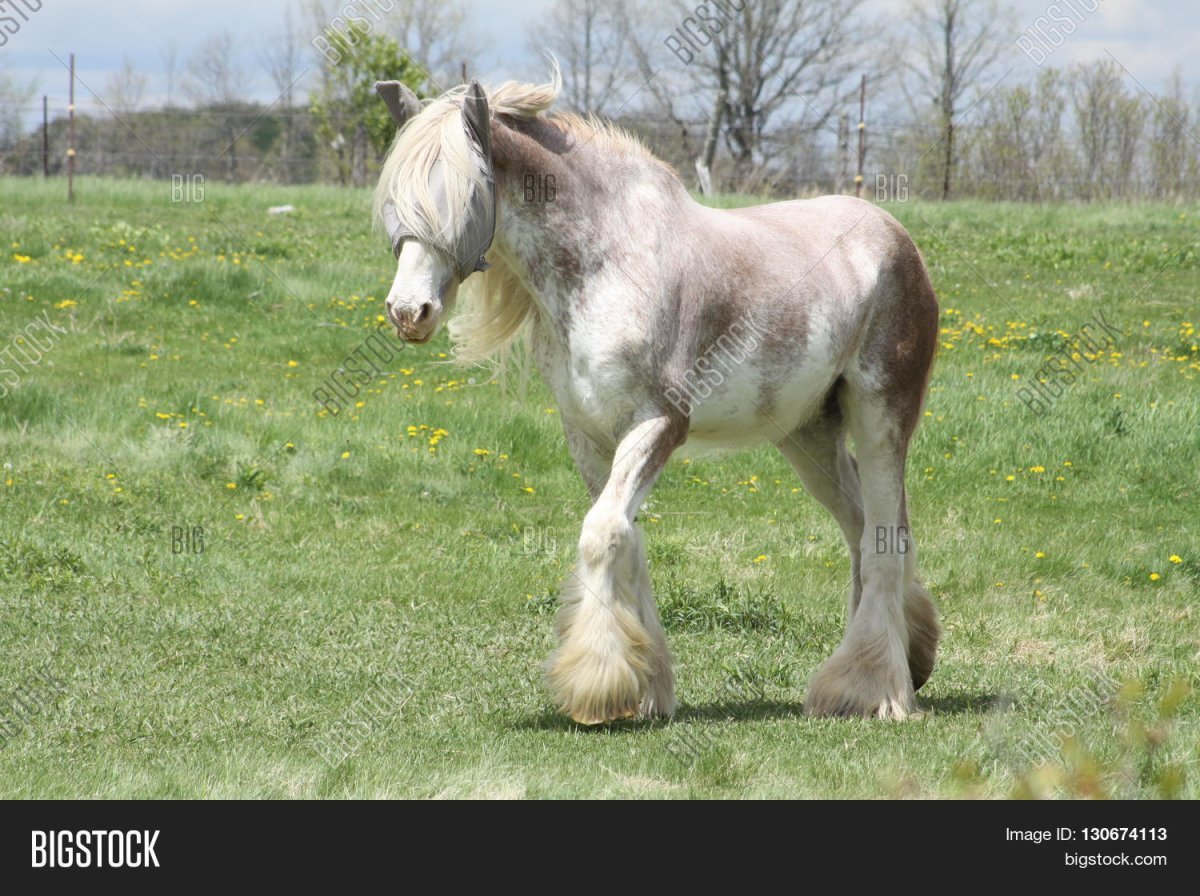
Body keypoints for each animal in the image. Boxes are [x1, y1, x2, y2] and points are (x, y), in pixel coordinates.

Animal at [372, 72, 940, 724]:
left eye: (465, 197)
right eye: (393, 200)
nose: (409, 312)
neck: (607, 264)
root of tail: (896, 238)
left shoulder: (659, 425)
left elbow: (602, 533)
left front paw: (597, 686)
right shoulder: (589, 436)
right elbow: (625, 538)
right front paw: (643, 690)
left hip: (881, 418)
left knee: (883, 539)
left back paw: (873, 690)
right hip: (809, 437)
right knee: (860, 528)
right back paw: (901, 662)